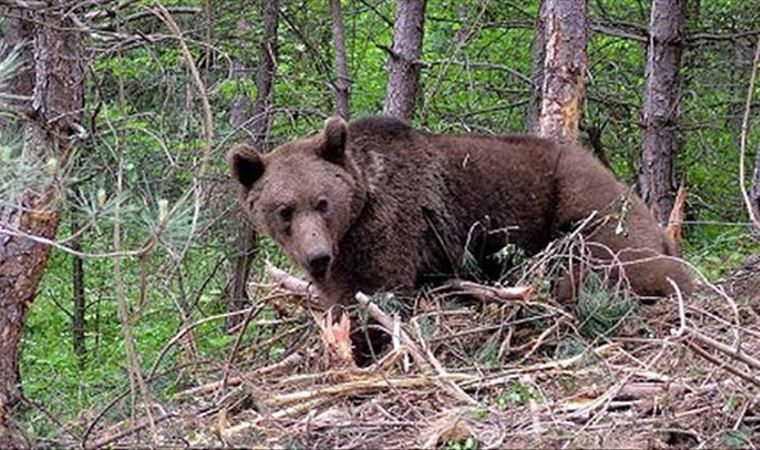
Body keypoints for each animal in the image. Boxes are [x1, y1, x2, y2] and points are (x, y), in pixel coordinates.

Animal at [227, 114, 696, 308]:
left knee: (614, 262)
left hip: (585, 205)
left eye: (322, 203)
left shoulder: (394, 225)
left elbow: (377, 291)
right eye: (284, 210)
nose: (317, 257)